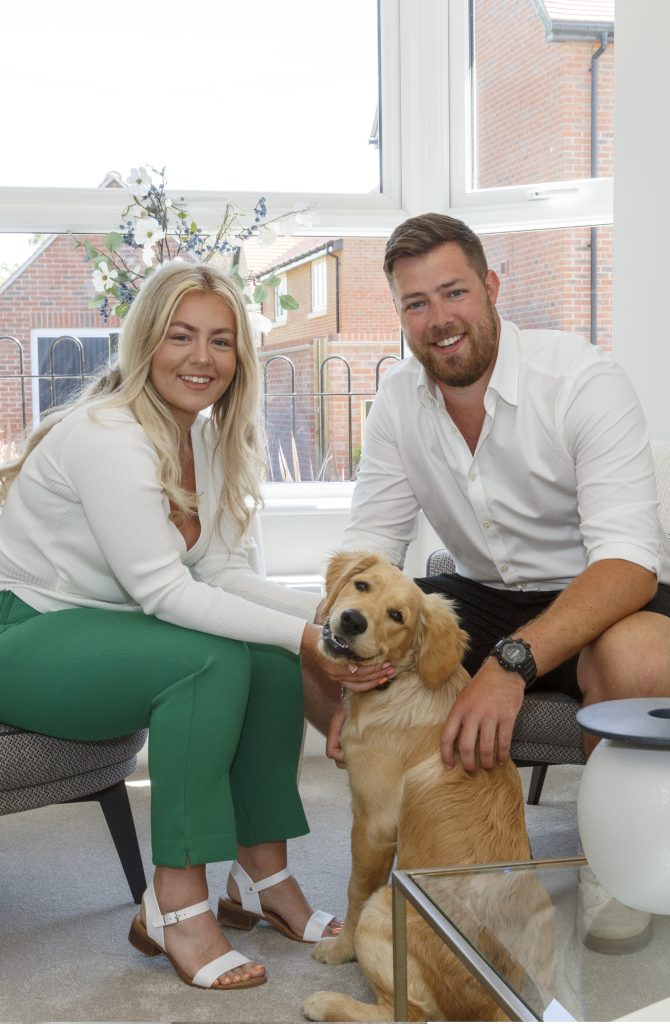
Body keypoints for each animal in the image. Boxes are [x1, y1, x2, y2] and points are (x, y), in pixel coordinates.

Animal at [305, 557, 557, 1019]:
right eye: (361, 585)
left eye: (397, 616)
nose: (351, 621)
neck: (403, 684)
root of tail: (494, 1001)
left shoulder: (373, 827)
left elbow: (353, 893)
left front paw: (339, 951)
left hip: (383, 906)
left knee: (402, 1012)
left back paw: (327, 1001)